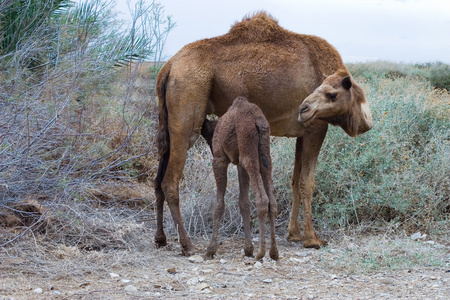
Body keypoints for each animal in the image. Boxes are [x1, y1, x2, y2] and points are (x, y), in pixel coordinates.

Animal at [204, 96, 278, 260]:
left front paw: (210, 249)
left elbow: (219, 204)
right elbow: (243, 202)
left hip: (248, 155)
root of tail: (259, 122)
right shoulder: (239, 164)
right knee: (272, 201)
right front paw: (248, 248)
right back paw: (274, 252)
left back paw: (261, 252)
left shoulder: (219, 159)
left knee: (262, 199)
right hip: (264, 156)